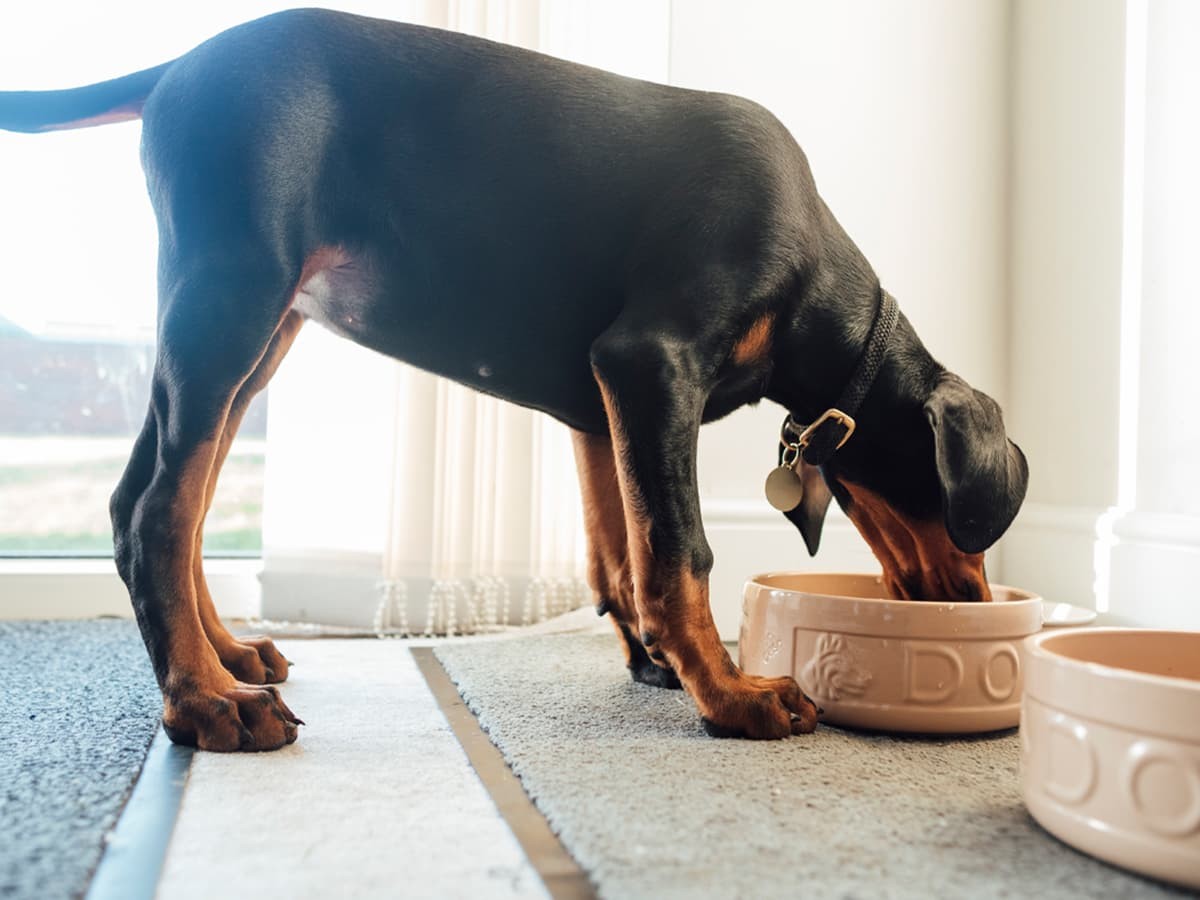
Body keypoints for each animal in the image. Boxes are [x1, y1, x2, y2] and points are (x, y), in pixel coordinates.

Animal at [4, 10, 1027, 748]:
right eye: (969, 521)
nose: (978, 608)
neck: (812, 277)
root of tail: (176, 65)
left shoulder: (603, 404)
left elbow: (621, 554)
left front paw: (658, 661)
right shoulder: (651, 363)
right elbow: (680, 550)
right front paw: (732, 695)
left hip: (257, 334)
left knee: (162, 500)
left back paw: (228, 657)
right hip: (231, 296)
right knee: (156, 511)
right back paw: (205, 703)